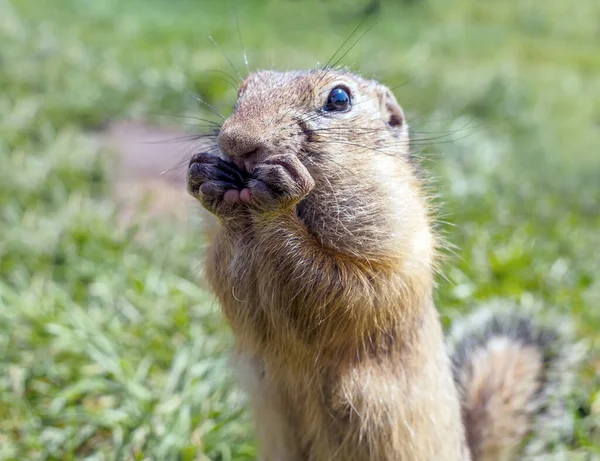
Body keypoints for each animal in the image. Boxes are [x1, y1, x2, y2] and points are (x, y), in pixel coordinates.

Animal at [186, 69, 572, 460]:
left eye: (339, 98)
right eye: (241, 92)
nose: (237, 142)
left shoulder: (394, 244)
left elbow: (344, 289)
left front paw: (278, 189)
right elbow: (235, 287)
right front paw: (209, 178)